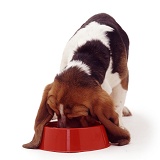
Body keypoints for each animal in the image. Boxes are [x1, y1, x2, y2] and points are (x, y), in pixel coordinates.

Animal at [23, 12, 132, 149]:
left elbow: (117, 105)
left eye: (78, 116)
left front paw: (120, 124)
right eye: (54, 109)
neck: (87, 58)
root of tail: (104, 14)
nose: (63, 130)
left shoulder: (122, 80)